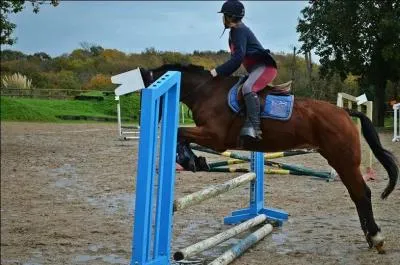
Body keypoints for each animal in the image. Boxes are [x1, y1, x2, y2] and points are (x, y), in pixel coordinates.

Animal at [139, 63, 398, 253]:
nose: (145, 120)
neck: (206, 91)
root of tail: (344, 111)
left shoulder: (215, 137)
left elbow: (181, 133)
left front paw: (191, 160)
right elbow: (181, 136)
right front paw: (195, 161)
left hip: (343, 161)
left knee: (362, 193)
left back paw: (376, 237)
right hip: (339, 160)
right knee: (357, 195)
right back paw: (370, 238)